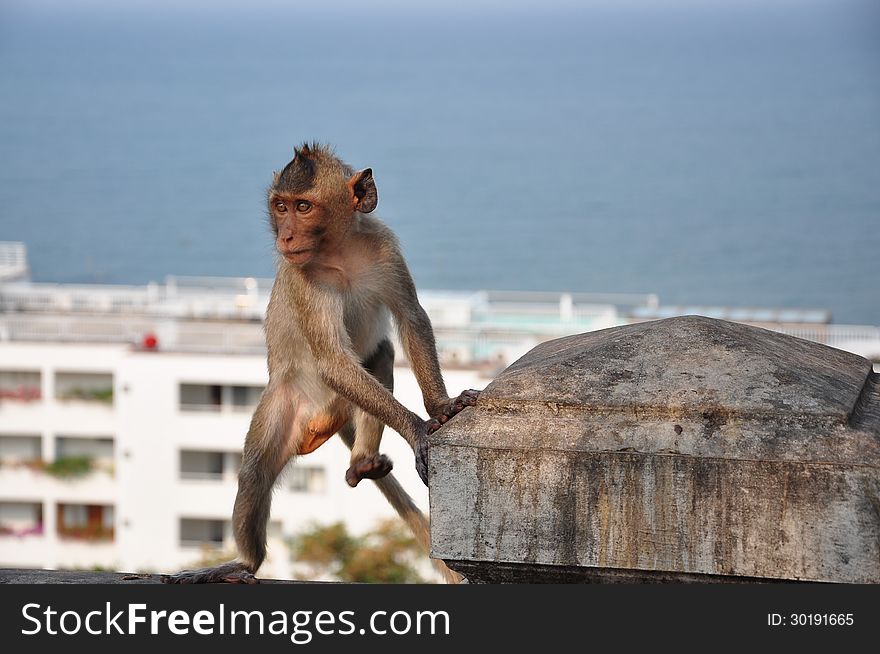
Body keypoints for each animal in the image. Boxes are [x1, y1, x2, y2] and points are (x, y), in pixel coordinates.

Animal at [165, 142, 482, 584]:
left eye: (303, 206)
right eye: (280, 206)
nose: (285, 234)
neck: (338, 252)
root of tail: (321, 421)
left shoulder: (385, 247)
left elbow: (411, 318)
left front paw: (440, 407)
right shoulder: (303, 278)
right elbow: (332, 359)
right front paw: (418, 429)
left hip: (344, 403)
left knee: (381, 354)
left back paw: (362, 462)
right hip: (284, 406)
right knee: (254, 475)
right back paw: (242, 563)